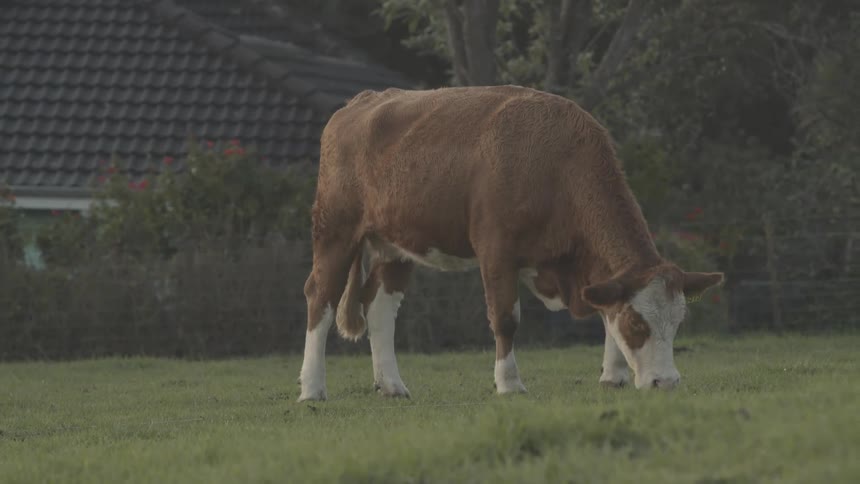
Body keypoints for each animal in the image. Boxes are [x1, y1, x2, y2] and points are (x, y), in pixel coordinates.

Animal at [297, 85, 723, 402]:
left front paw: (613, 374)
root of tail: (360, 103)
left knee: (381, 308)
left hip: (394, 244)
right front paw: (509, 383)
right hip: (334, 230)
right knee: (321, 297)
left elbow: (605, 310)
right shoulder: (496, 251)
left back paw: (392, 385)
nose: (666, 382)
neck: (556, 164)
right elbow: (505, 318)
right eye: (638, 322)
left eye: (679, 321)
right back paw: (312, 388)